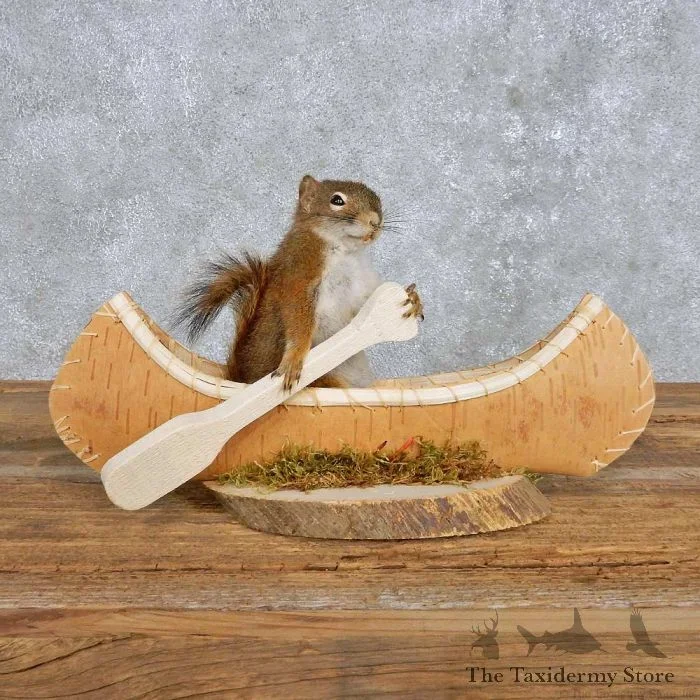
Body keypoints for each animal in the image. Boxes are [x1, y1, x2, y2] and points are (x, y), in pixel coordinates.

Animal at [175, 175, 423, 392]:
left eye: (377, 199)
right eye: (337, 200)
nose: (375, 221)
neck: (347, 251)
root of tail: (244, 379)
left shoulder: (360, 286)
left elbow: (365, 307)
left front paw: (412, 299)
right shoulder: (300, 273)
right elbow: (298, 319)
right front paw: (294, 358)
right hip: (324, 379)